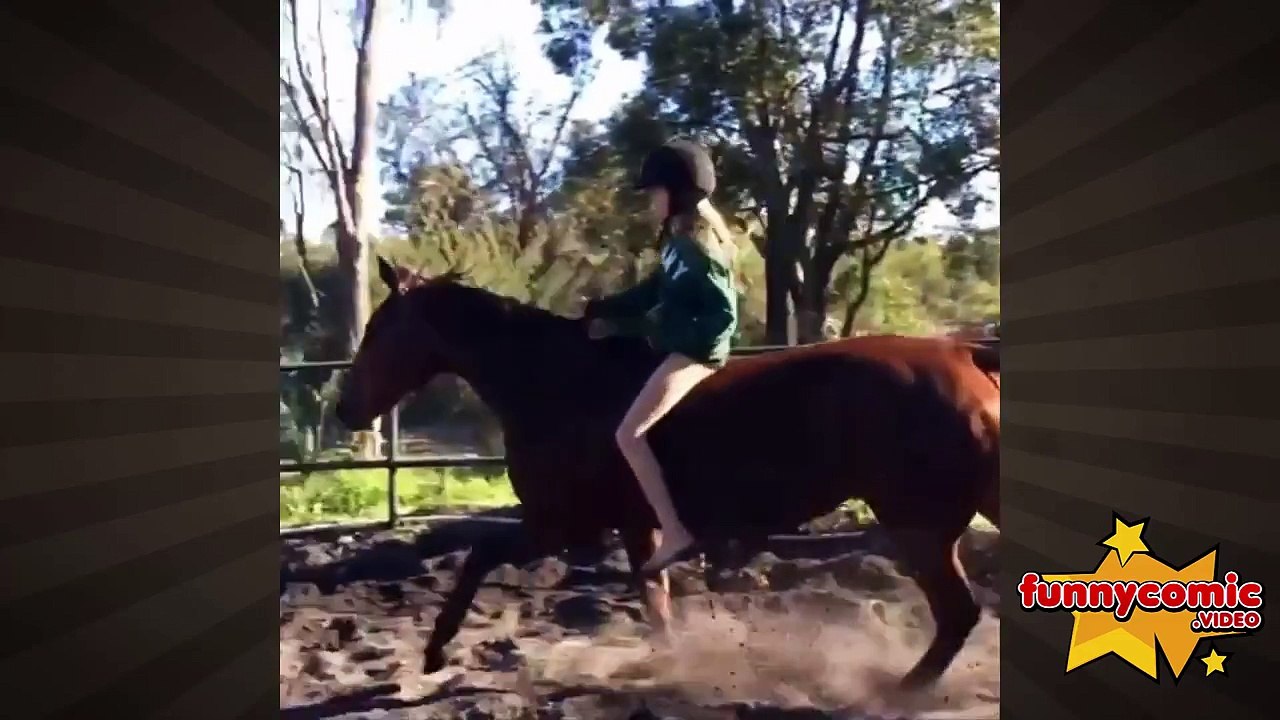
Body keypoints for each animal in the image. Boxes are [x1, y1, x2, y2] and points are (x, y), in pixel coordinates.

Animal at [333, 257, 1001, 690]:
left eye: (380, 330)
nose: (345, 411)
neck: (554, 383)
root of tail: (964, 354)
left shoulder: (560, 524)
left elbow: (478, 555)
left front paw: (435, 651)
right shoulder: (635, 528)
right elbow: (655, 603)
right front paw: (668, 666)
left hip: (918, 525)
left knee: (958, 614)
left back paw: (899, 692)